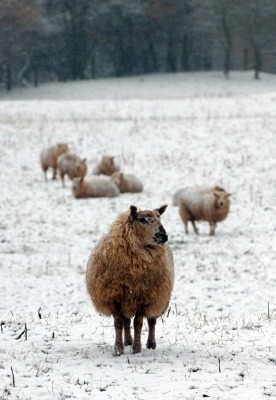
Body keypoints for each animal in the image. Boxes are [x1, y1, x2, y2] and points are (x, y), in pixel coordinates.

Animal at [86, 205, 175, 354]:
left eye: (159, 218)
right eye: (142, 219)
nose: (163, 236)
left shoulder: (145, 298)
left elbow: (138, 324)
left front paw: (137, 349)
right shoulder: (115, 297)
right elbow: (118, 323)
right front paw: (118, 349)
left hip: (158, 297)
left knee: (151, 321)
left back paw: (151, 344)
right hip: (127, 299)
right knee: (126, 321)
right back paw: (127, 341)